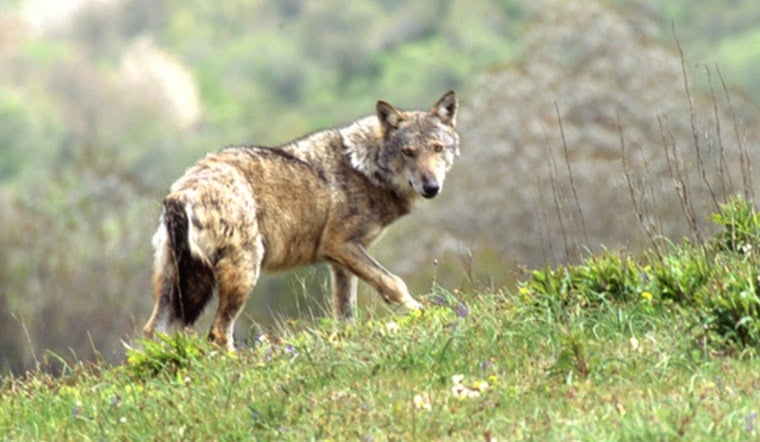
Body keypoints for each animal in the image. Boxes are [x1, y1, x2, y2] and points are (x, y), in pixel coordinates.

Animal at [143, 91, 460, 349]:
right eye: (408, 152)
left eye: (437, 148)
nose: (431, 187)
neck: (364, 168)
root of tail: (180, 193)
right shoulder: (340, 245)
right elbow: (394, 284)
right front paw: (425, 314)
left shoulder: (341, 262)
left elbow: (345, 314)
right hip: (243, 271)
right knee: (218, 333)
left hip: (174, 284)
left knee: (152, 331)